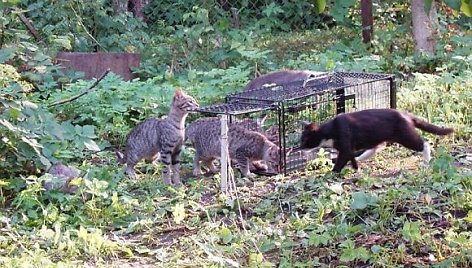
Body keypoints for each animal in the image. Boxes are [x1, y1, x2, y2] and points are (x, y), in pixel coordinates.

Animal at [300, 108, 452, 173]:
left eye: (305, 139)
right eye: (301, 140)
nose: (300, 147)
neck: (330, 132)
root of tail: (406, 114)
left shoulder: (345, 142)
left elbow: (341, 160)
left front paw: (332, 173)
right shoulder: (347, 147)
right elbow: (350, 157)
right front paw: (356, 167)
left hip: (405, 137)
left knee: (424, 143)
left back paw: (426, 162)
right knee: (376, 148)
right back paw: (361, 158)